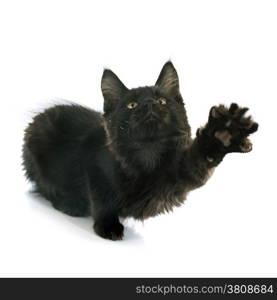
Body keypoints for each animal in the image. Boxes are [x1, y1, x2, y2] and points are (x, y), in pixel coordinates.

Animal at [22, 61, 256, 241]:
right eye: (132, 105)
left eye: (162, 100)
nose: (149, 103)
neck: (147, 154)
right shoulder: (95, 167)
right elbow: (102, 198)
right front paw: (108, 226)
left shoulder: (181, 175)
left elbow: (201, 160)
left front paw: (223, 133)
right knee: (45, 186)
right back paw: (70, 204)